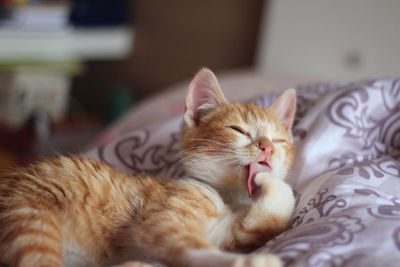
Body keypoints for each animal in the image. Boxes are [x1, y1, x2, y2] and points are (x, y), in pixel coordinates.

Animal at [0, 69, 294, 267]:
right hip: (28, 215)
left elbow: (263, 220)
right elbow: (186, 246)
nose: (267, 148)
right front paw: (248, 262)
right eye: (238, 130)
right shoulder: (160, 220)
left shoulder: (224, 234)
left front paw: (270, 183)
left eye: (279, 140)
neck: (226, 195)